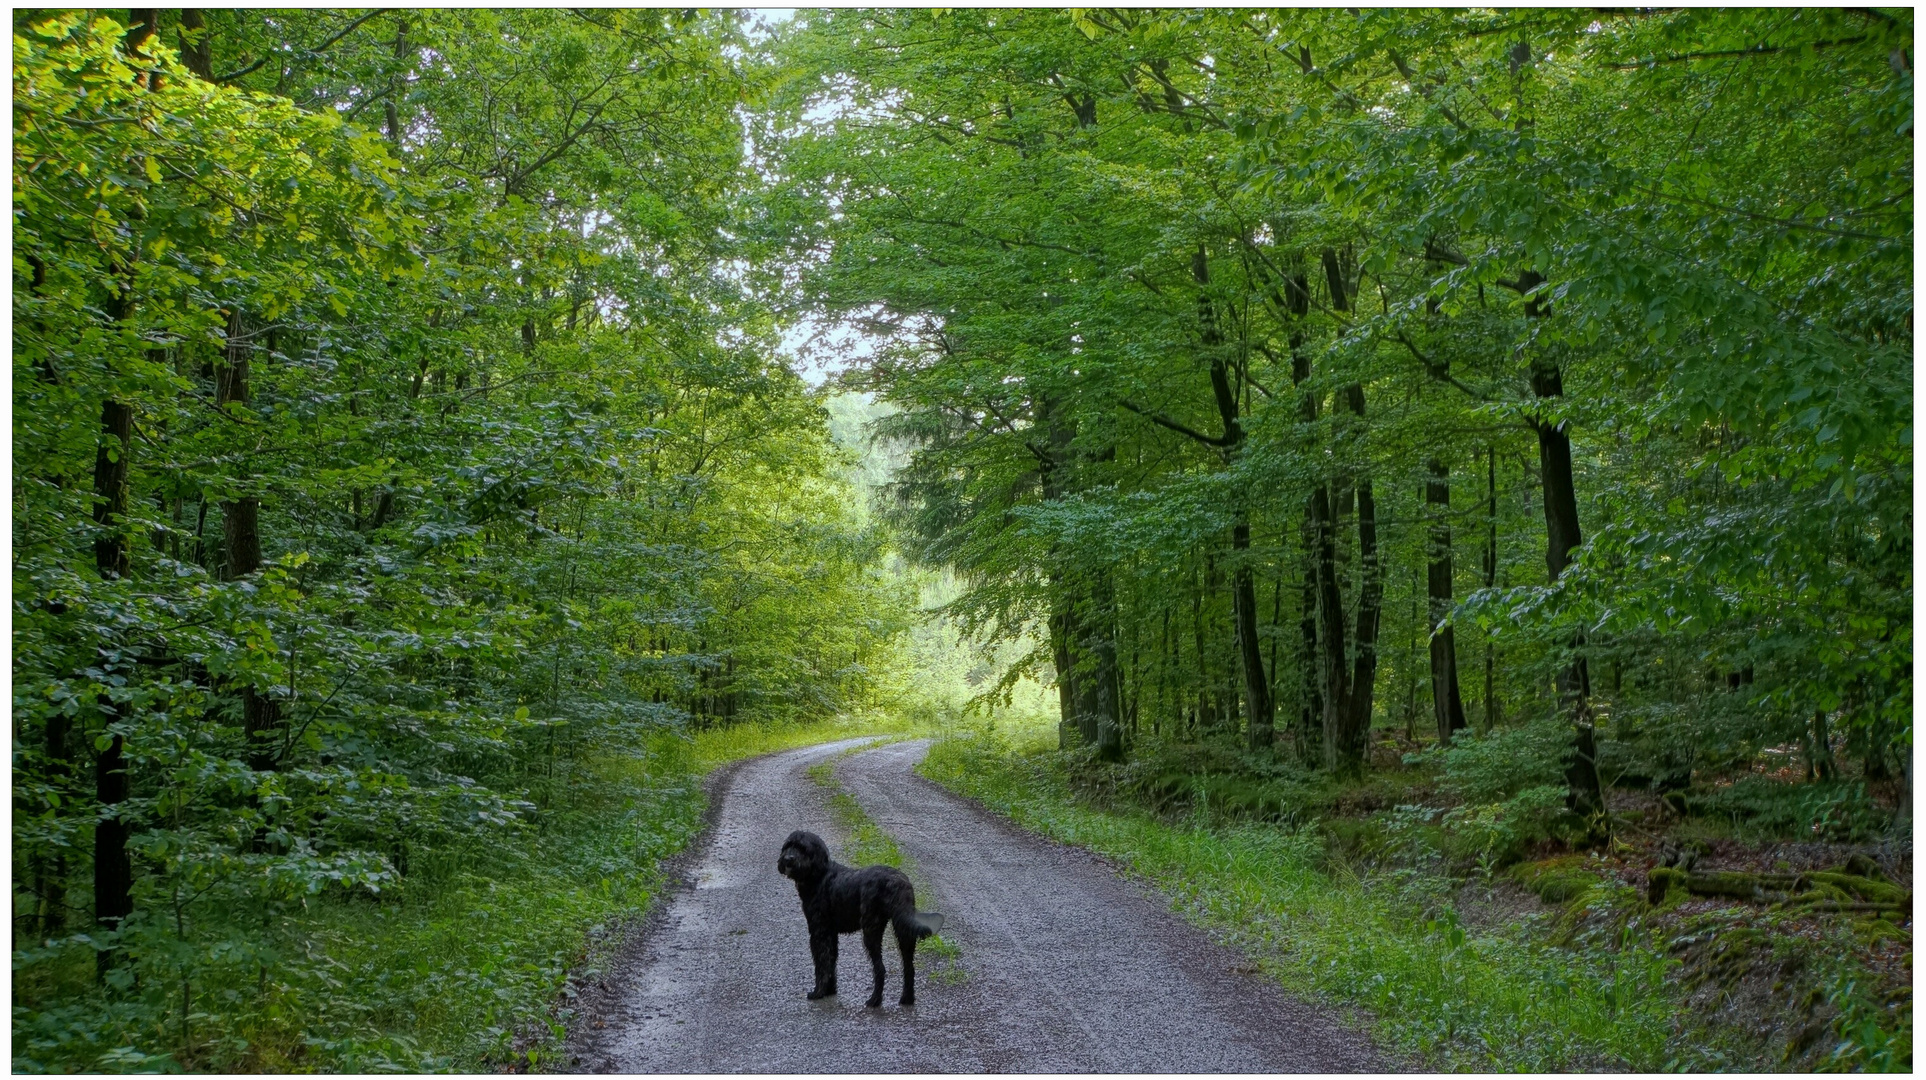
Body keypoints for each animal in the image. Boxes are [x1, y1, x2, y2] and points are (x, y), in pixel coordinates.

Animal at [774, 827, 939, 1008]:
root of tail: (897, 881)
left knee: (880, 968)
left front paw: (818, 992)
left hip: (871, 931)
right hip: (903, 930)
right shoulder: (831, 933)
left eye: (802, 848)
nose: (788, 859)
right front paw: (830, 990)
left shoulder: (819, 932)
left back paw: (874, 1000)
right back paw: (907, 999)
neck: (818, 875)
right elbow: (831, 961)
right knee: (909, 967)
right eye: (788, 846)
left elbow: (821, 963)